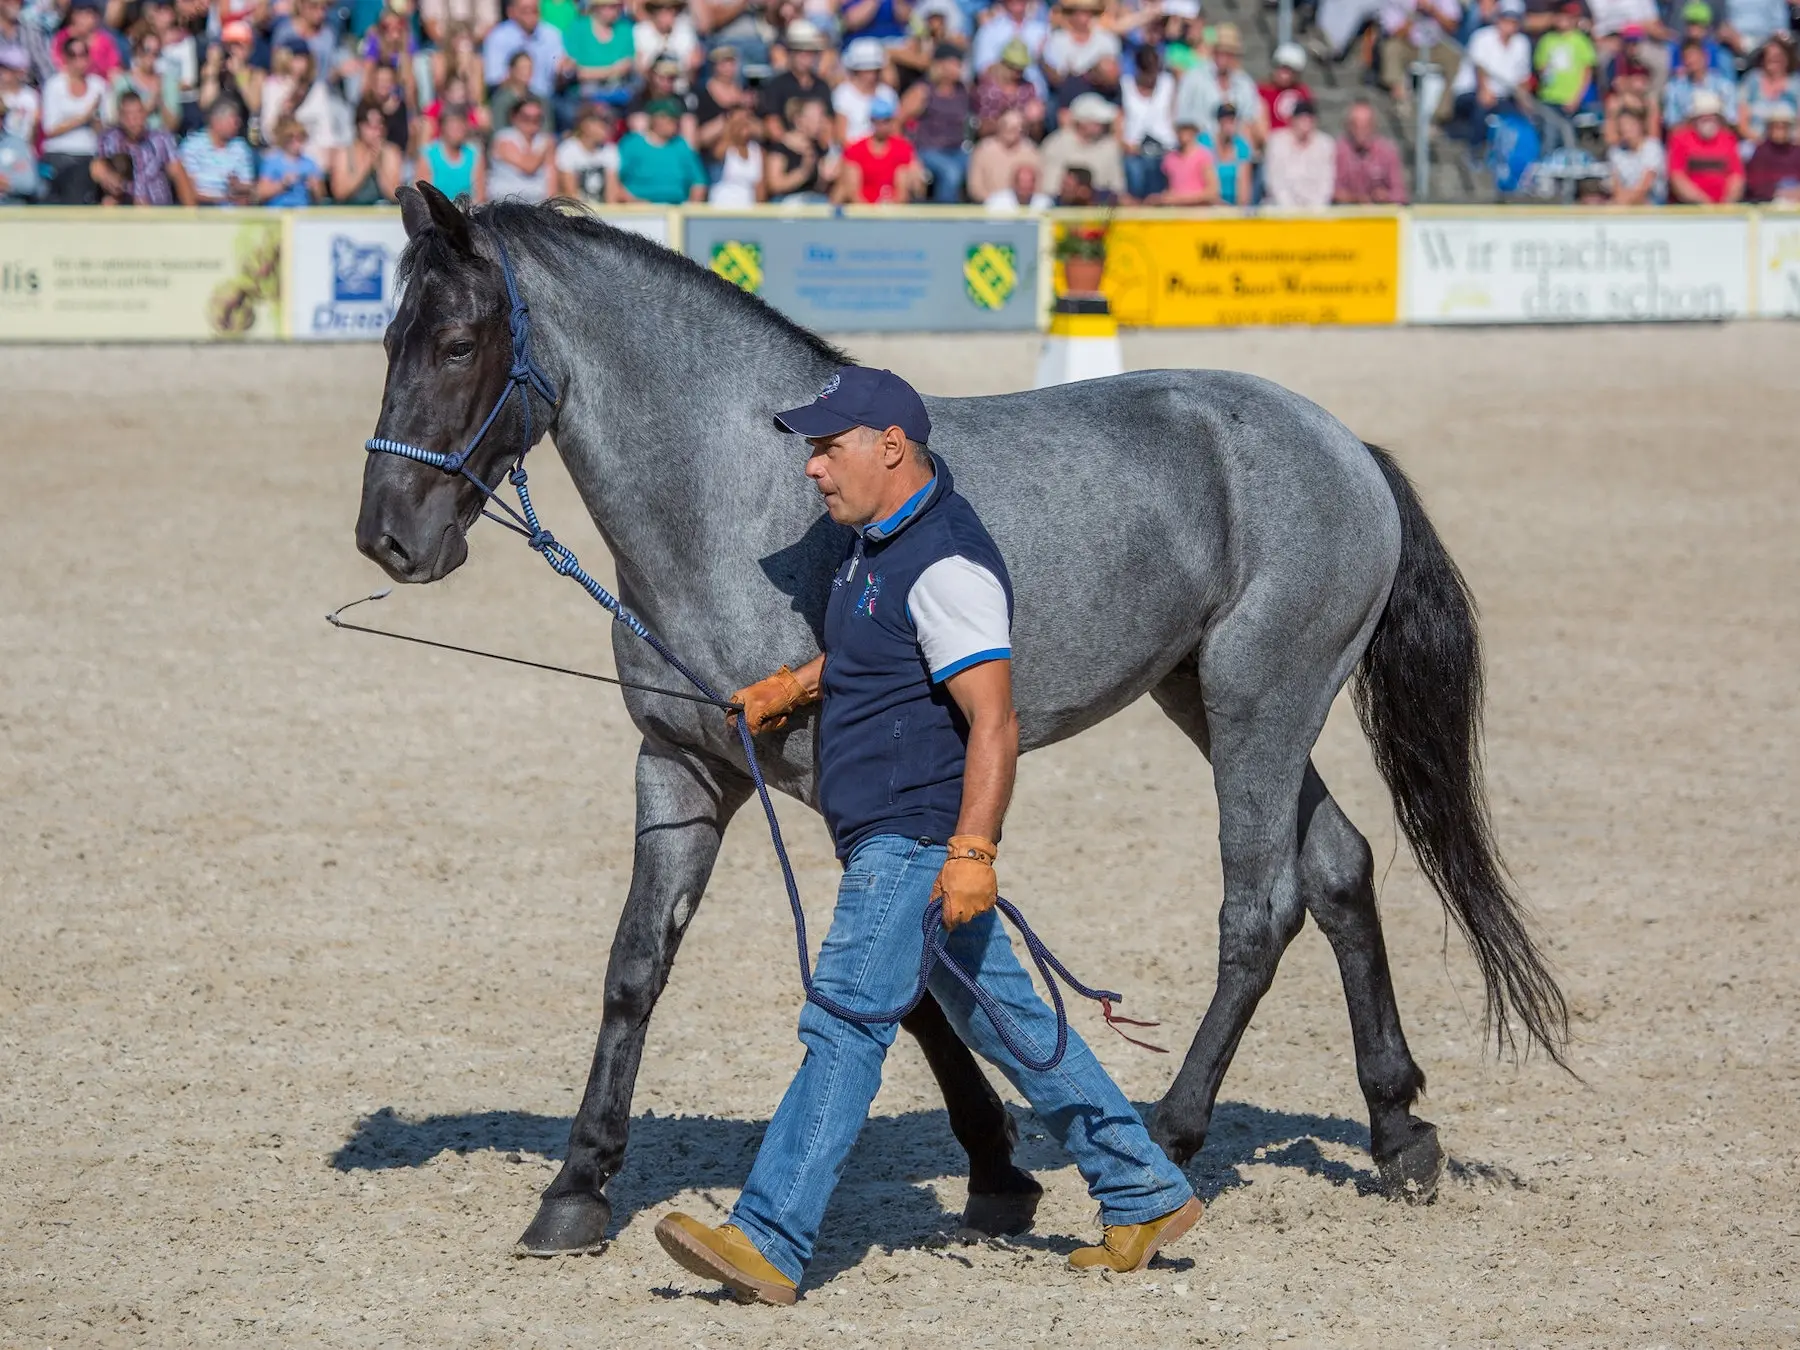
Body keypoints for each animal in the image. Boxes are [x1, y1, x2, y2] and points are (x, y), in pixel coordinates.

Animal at [355, 184, 1568, 1257]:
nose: (389, 538)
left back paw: (1175, 1135)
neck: (738, 496)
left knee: (1260, 910)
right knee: (1340, 870)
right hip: (1221, 704)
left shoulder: (846, 791)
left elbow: (907, 987)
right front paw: (576, 1189)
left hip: (1258, 707)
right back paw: (1399, 1132)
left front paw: (997, 1170)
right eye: (389, 339)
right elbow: (637, 966)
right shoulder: (682, 767)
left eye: (458, 343)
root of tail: (1344, 444)